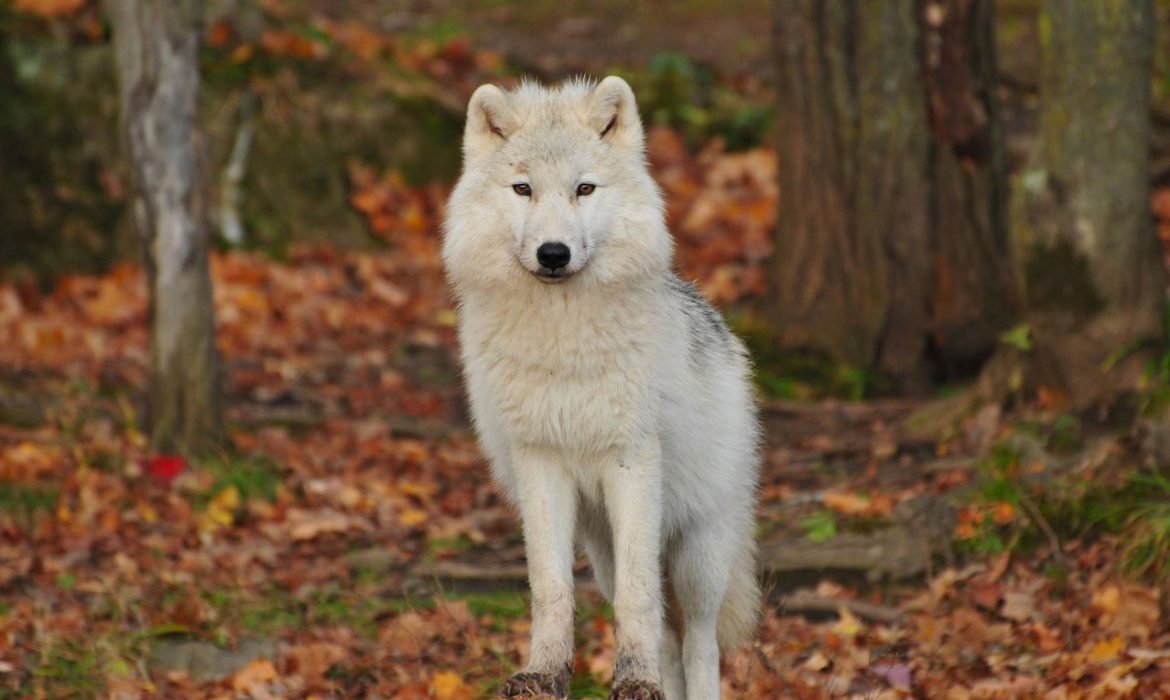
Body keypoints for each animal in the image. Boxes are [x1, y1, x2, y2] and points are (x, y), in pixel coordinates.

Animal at [442, 76, 761, 700]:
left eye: (584, 188)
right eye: (523, 189)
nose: (553, 254)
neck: (563, 343)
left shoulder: (630, 461)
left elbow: (639, 600)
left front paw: (632, 678)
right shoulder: (539, 461)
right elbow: (550, 587)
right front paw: (544, 672)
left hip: (698, 553)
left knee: (700, 642)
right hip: (602, 549)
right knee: (667, 638)